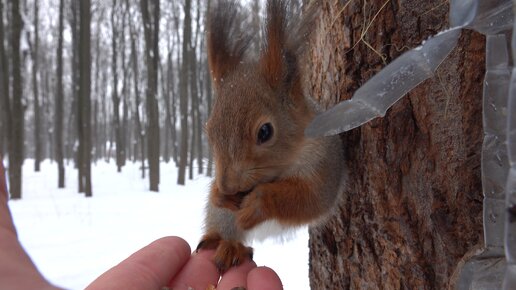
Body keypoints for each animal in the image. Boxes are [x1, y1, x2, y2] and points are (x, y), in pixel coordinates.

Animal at [198, 0, 346, 272]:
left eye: (265, 132)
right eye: (209, 130)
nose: (227, 185)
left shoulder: (324, 164)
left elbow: (310, 198)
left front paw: (258, 202)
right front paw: (219, 195)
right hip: (222, 218)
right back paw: (225, 243)